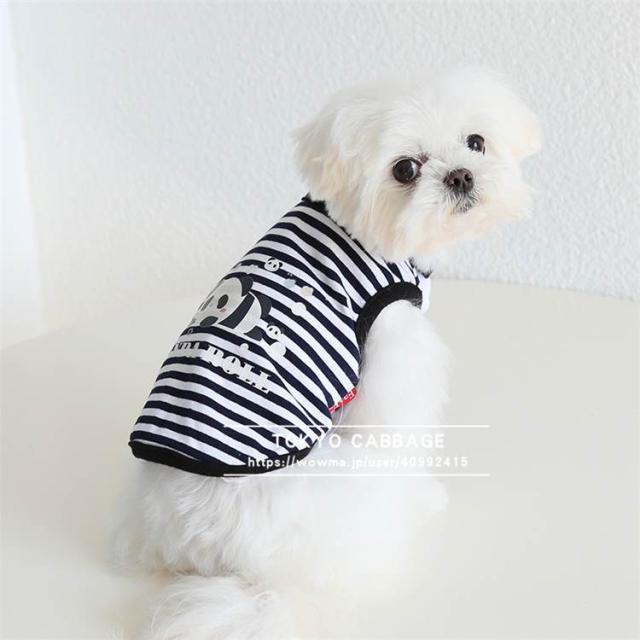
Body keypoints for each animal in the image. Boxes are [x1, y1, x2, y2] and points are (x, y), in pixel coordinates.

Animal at [112, 67, 540, 639]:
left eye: (476, 142)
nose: (461, 175)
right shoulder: (394, 357)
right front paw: (427, 492)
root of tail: (223, 559)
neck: (365, 234)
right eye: (405, 169)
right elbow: (400, 434)